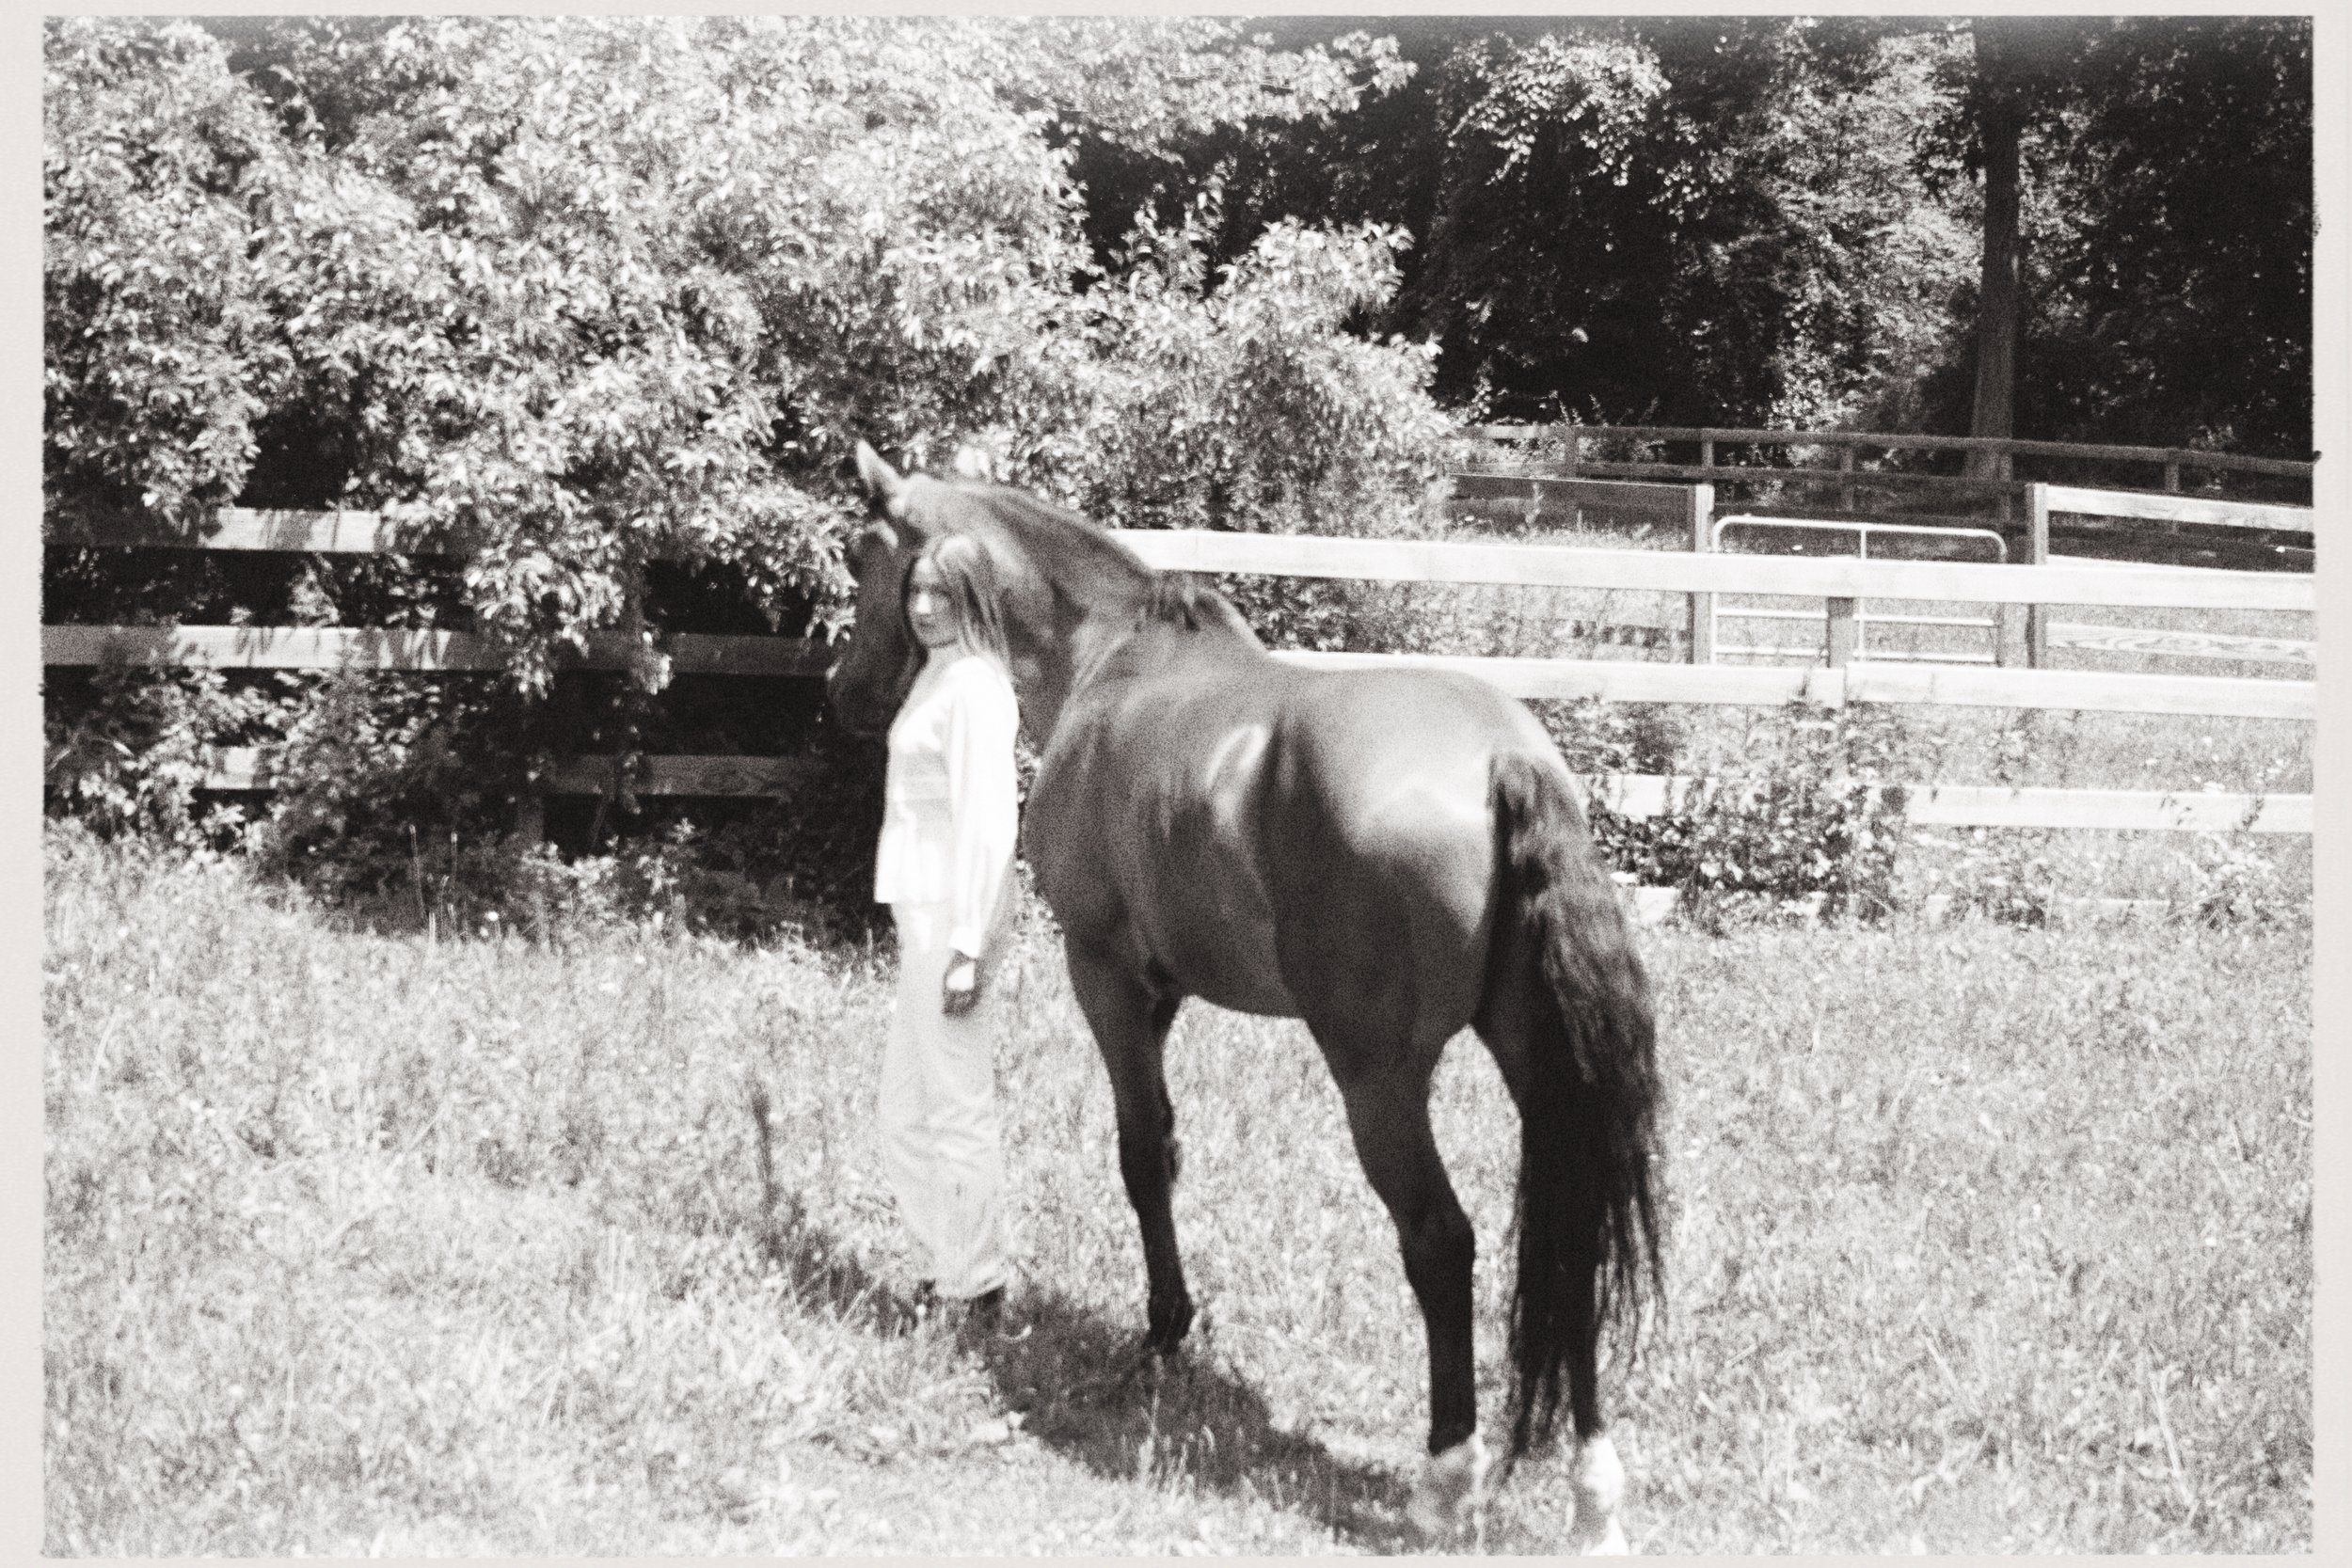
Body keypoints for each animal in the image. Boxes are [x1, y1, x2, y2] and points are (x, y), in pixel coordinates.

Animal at [827, 443, 1663, 1549]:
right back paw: (1593, 1489)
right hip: (1536, 1060)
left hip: (1377, 1080)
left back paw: (1444, 1475)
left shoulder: (1105, 974)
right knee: (1569, 1238)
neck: (1112, 659)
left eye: (860, 552)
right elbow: (1170, 1149)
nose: (843, 686)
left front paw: (1162, 1331)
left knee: (1441, 1240)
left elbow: (1143, 1153)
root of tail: (1504, 757)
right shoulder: (1168, 989)